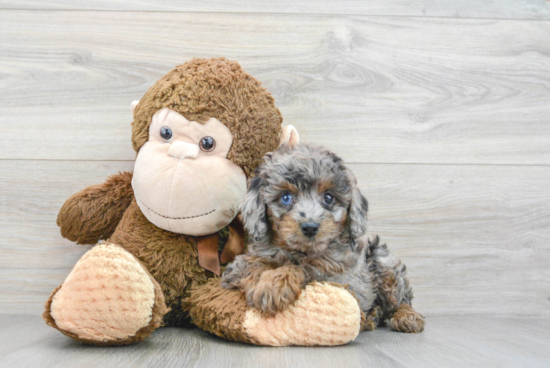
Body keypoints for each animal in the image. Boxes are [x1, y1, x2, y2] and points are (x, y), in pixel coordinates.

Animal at [221, 144, 426, 334]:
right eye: (286, 197)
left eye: (329, 198)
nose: (310, 227)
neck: (299, 251)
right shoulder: (239, 264)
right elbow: (251, 266)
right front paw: (264, 284)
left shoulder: (337, 275)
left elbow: (303, 267)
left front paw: (274, 285)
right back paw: (373, 316)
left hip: (382, 259)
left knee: (399, 300)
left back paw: (406, 317)